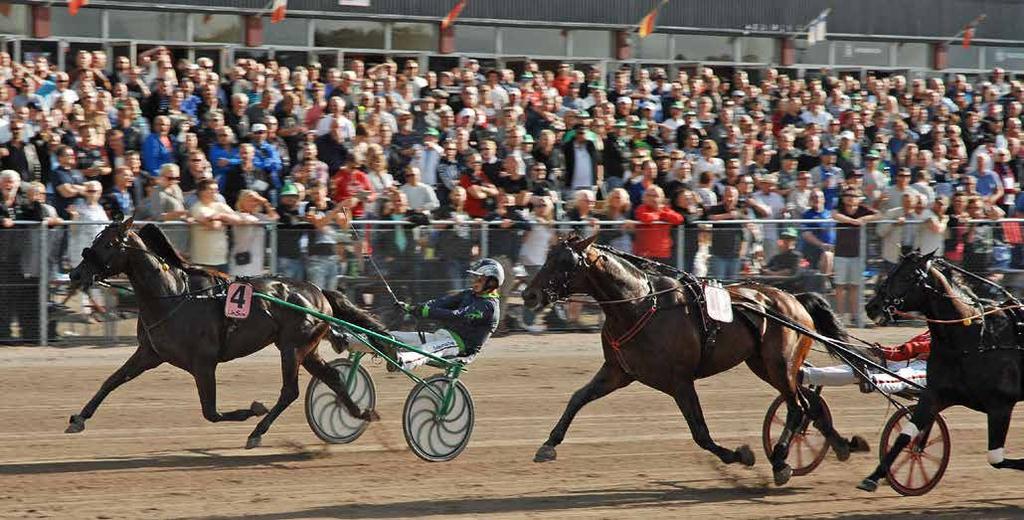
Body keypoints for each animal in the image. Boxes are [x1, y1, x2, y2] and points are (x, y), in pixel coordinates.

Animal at [64, 214, 391, 446]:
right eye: (96, 240)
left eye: (108, 244)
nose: (75, 274)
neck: (175, 296)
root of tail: (319, 291)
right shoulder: (149, 353)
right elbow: (111, 381)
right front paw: (78, 418)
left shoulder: (203, 363)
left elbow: (211, 412)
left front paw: (253, 409)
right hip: (306, 350)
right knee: (333, 377)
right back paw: (360, 412)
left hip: (292, 348)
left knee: (290, 391)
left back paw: (258, 430)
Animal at [524, 235, 860, 487]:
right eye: (548, 256)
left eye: (564, 262)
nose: (530, 295)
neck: (640, 303)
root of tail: (793, 298)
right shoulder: (617, 371)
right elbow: (578, 398)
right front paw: (548, 445)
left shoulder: (680, 381)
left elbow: (700, 432)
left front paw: (740, 455)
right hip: (766, 365)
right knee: (809, 403)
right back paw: (842, 445)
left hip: (780, 364)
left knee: (797, 407)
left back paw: (780, 460)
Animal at [864, 251, 1024, 491]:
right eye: (891, 271)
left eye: (908, 276)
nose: (872, 307)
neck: (974, 338)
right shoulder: (935, 394)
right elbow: (906, 436)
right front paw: (874, 476)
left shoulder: (1000, 405)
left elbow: (996, 459)